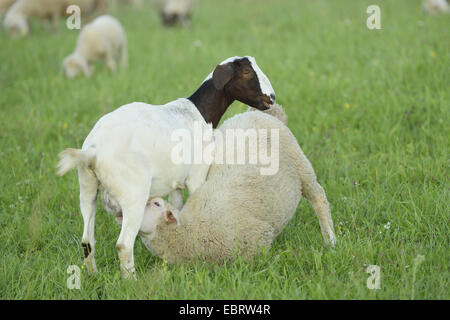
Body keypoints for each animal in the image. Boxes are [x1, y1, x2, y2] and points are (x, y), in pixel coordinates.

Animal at [56, 56, 274, 278]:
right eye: (246, 72)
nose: (271, 98)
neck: (199, 114)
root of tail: (92, 151)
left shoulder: (175, 183)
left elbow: (177, 207)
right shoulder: (196, 176)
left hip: (87, 188)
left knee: (86, 240)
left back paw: (93, 275)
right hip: (133, 195)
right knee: (123, 244)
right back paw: (130, 280)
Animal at [137, 105, 338, 264]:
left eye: (156, 204)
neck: (191, 230)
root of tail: (257, 112)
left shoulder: (259, 238)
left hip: (300, 164)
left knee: (319, 198)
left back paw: (330, 239)